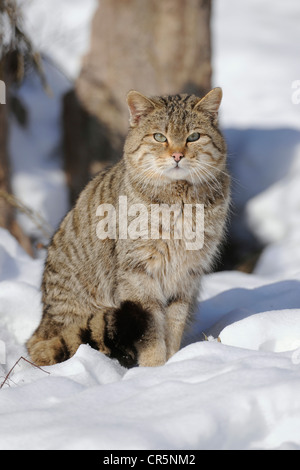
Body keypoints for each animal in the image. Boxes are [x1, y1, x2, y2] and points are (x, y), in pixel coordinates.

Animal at [27, 87, 230, 368]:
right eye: (159, 137)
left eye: (194, 137)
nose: (177, 156)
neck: (179, 198)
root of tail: (41, 327)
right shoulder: (138, 272)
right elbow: (152, 329)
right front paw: (153, 369)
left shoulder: (186, 276)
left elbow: (174, 324)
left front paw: (174, 363)